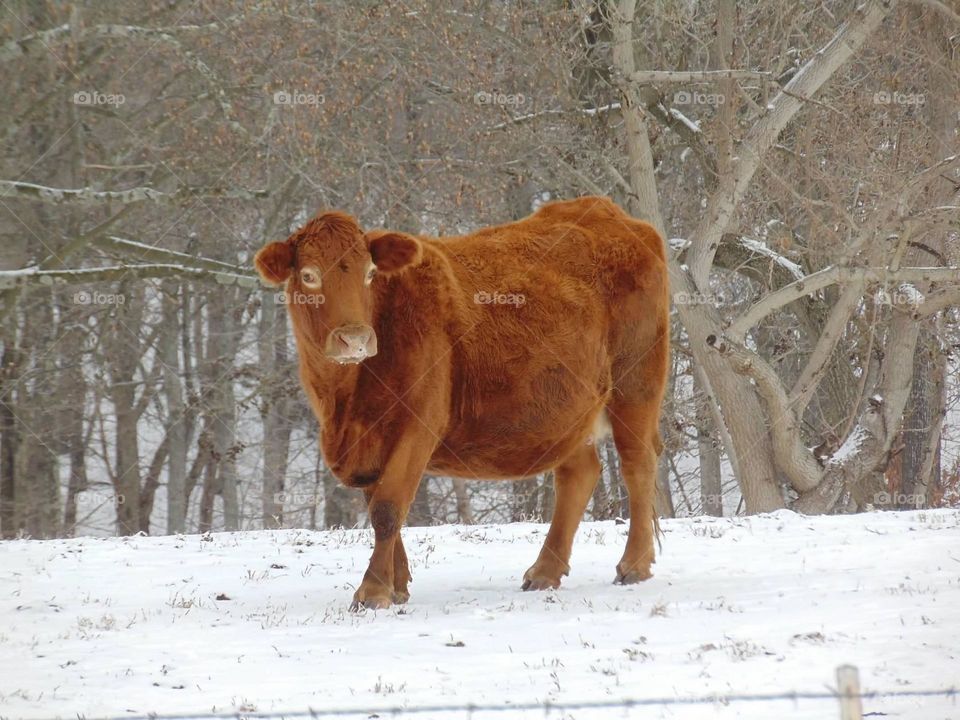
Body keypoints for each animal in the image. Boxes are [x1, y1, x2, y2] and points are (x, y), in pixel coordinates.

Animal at [255, 197, 668, 608]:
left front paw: (373, 590)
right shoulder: (369, 441)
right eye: (309, 276)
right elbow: (381, 506)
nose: (355, 339)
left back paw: (635, 564)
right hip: (567, 409)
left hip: (635, 385)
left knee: (637, 464)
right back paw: (545, 571)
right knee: (578, 474)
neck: (344, 398)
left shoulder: (417, 424)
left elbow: (388, 508)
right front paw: (397, 585)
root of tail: (606, 210)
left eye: (370, 273)